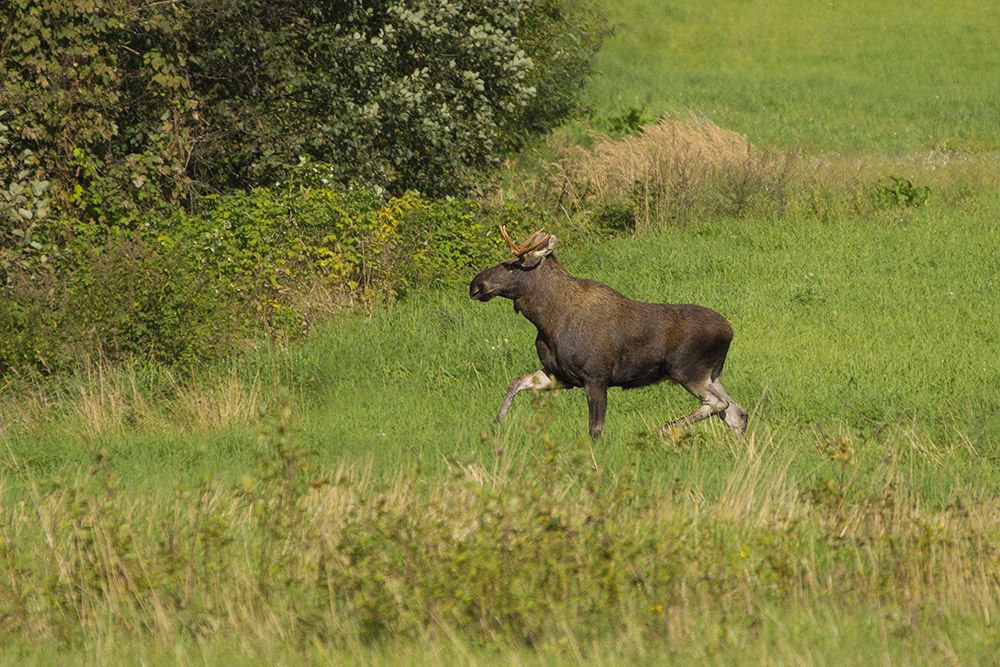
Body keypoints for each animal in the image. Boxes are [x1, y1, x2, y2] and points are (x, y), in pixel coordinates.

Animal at [470, 227, 752, 440]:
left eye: (512, 265)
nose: (475, 285)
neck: (547, 321)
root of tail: (730, 332)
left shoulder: (596, 376)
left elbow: (595, 430)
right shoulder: (558, 375)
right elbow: (515, 382)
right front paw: (497, 423)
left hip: (687, 370)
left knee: (719, 404)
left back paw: (665, 429)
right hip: (713, 374)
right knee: (738, 412)